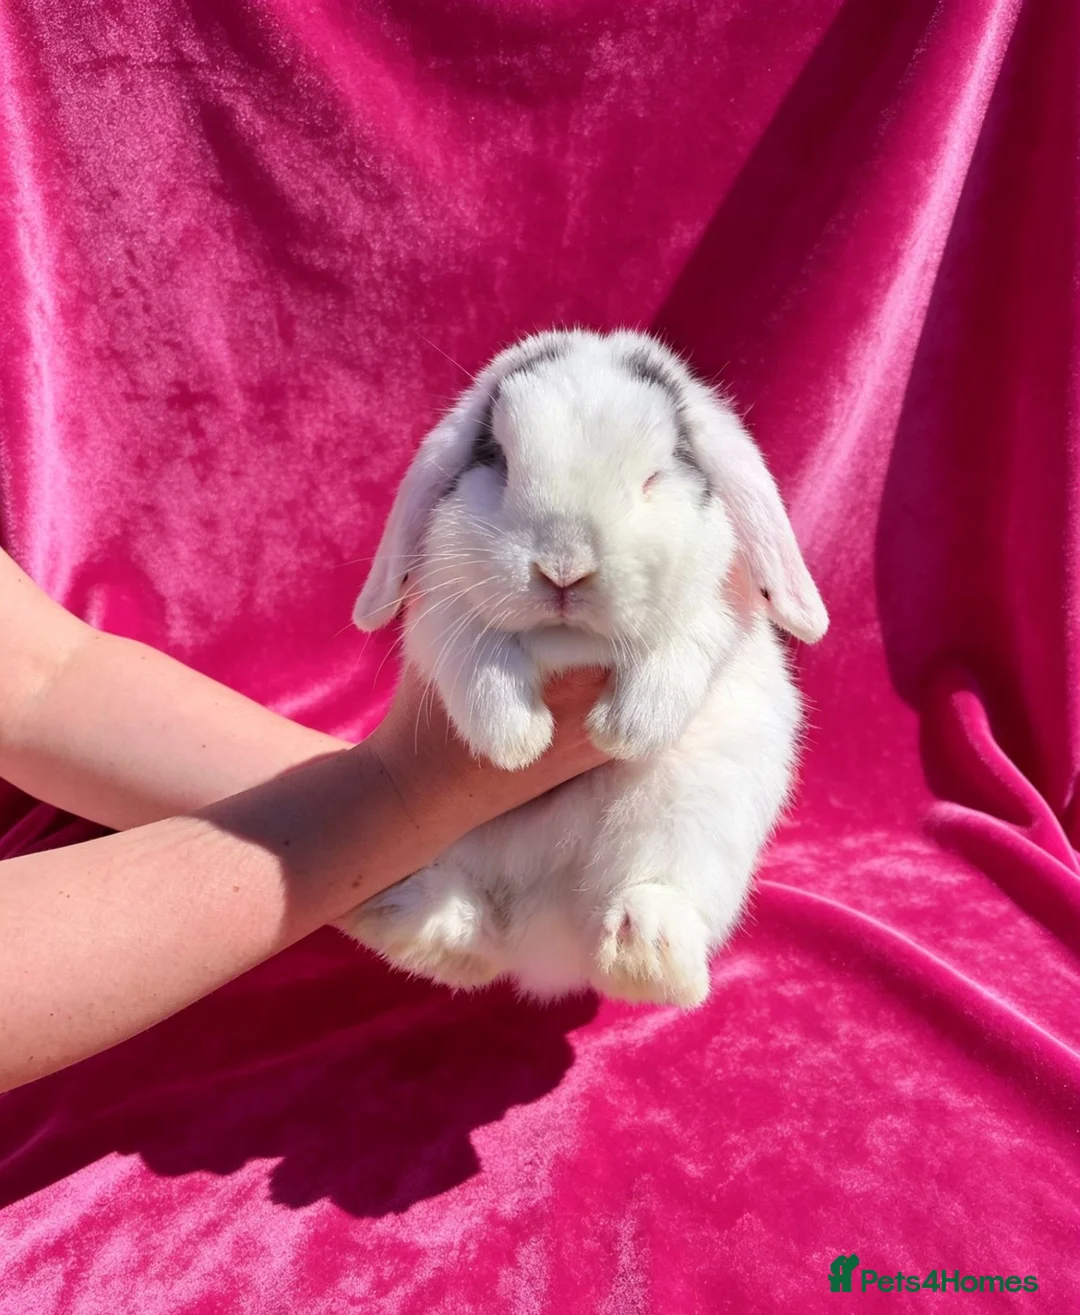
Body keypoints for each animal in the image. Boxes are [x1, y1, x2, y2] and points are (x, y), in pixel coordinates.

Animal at [338, 328, 827, 1008]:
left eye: (654, 476)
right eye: (499, 461)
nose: (564, 569)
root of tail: (544, 941)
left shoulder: (717, 608)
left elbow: (682, 647)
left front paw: (623, 731)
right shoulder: (442, 611)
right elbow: (477, 661)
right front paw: (516, 741)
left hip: (700, 813)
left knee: (657, 893)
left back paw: (647, 954)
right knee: (467, 927)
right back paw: (401, 916)